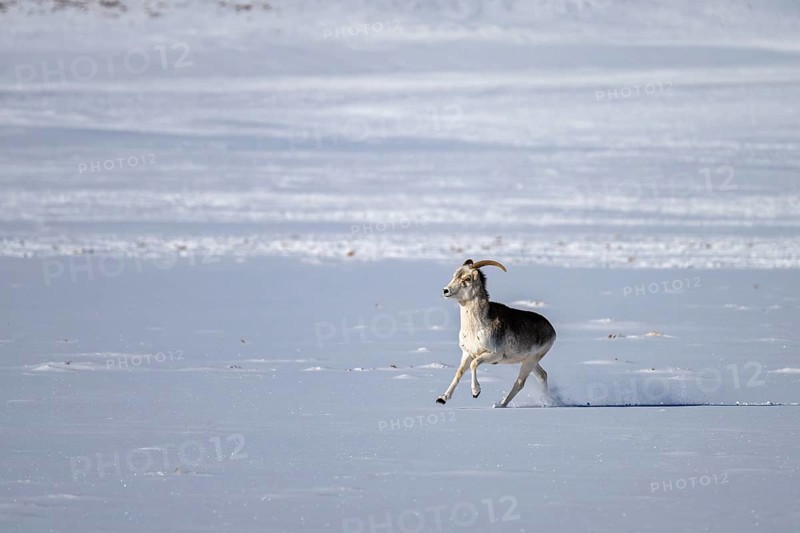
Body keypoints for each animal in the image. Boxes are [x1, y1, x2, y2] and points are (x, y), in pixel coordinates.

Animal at [436, 259, 556, 408]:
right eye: (454, 275)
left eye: (467, 278)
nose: (446, 291)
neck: (475, 328)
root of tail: (552, 330)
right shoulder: (467, 354)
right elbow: (459, 372)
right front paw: (442, 399)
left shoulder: (493, 355)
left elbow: (474, 364)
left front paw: (476, 392)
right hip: (529, 361)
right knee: (542, 375)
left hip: (530, 361)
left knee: (520, 383)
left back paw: (501, 404)